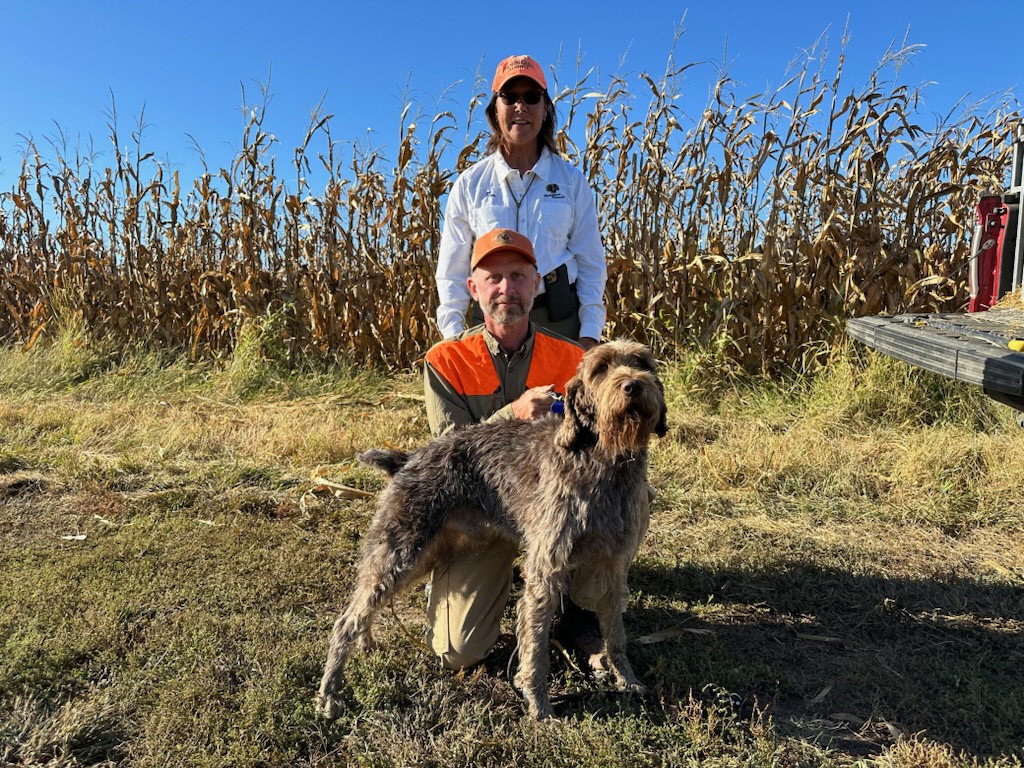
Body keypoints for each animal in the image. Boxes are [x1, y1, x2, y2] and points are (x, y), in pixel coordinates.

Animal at [316, 340, 668, 720]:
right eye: (601, 368)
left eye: (642, 363)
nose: (633, 385)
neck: (602, 460)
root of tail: (407, 459)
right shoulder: (546, 570)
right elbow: (536, 646)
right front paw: (539, 704)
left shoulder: (612, 565)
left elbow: (616, 636)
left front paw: (627, 680)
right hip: (401, 551)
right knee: (346, 620)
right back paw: (329, 693)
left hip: (420, 556)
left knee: (365, 608)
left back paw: (365, 644)